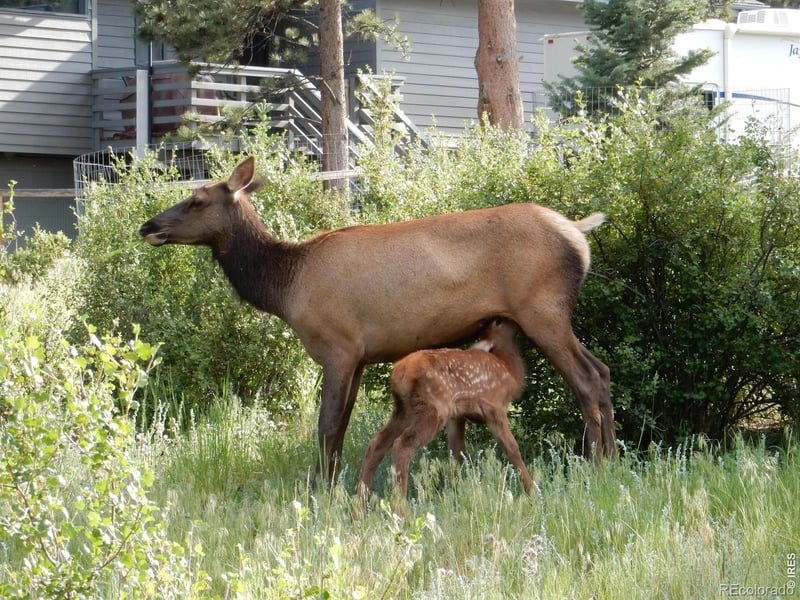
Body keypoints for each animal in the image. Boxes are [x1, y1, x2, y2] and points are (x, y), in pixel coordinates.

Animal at [358, 317, 532, 497]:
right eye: (498, 322)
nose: (504, 317)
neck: (509, 369)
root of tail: (400, 372)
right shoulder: (495, 407)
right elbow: (512, 448)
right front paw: (532, 490)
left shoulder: (457, 414)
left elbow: (455, 452)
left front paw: (453, 493)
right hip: (433, 408)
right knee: (402, 444)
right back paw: (400, 502)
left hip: (403, 409)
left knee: (377, 443)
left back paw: (360, 501)